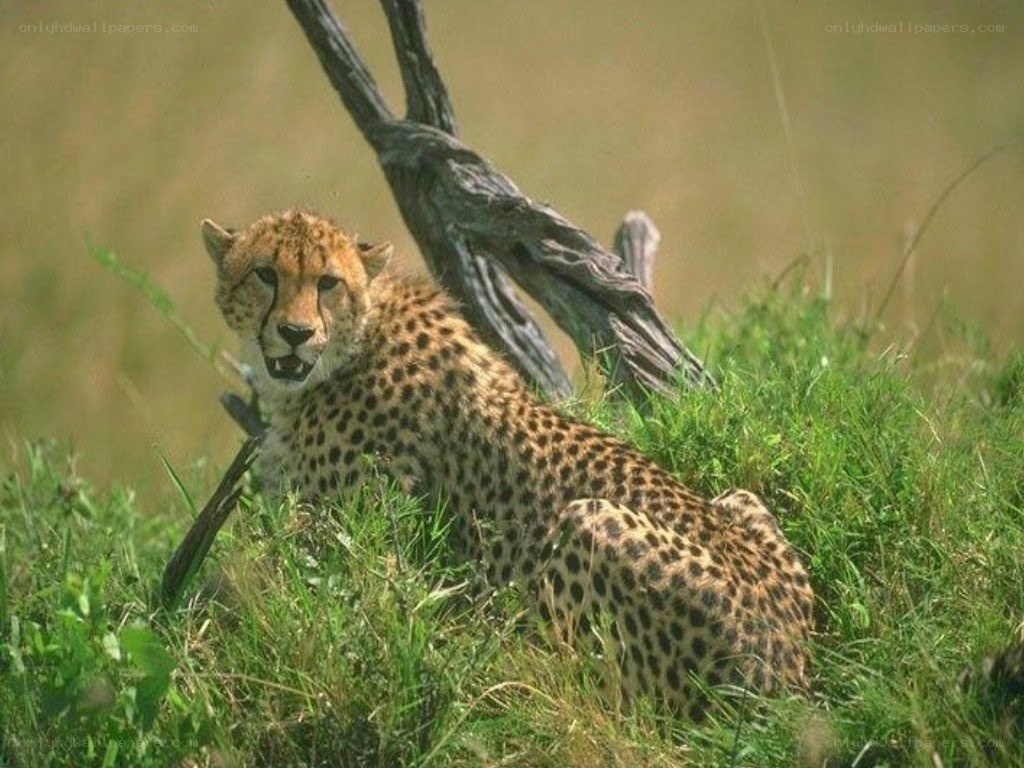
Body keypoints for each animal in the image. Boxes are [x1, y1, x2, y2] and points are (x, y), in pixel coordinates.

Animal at [201, 209, 814, 718]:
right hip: (739, 498)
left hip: (587, 522)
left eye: (328, 282)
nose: (295, 333)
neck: (356, 337)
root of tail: (788, 673)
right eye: (264, 274)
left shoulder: (355, 547)